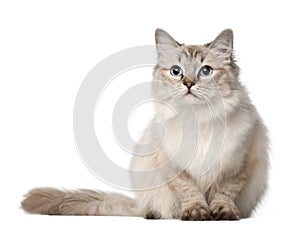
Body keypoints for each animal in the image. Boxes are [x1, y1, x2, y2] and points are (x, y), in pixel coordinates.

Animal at [21, 28, 270, 220]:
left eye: (206, 71)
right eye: (176, 72)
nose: (189, 83)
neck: (198, 118)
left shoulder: (236, 165)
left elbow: (224, 194)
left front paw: (223, 213)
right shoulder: (174, 166)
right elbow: (189, 192)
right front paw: (197, 213)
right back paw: (153, 214)